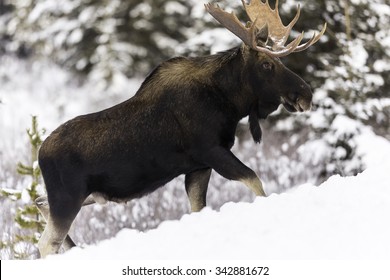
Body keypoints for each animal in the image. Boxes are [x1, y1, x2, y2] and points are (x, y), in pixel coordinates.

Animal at [35, 0, 326, 258]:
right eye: (267, 64)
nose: (306, 94)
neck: (229, 103)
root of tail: (40, 154)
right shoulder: (212, 152)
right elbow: (255, 180)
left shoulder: (198, 167)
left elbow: (200, 208)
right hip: (67, 198)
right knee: (46, 242)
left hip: (80, 196)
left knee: (39, 204)